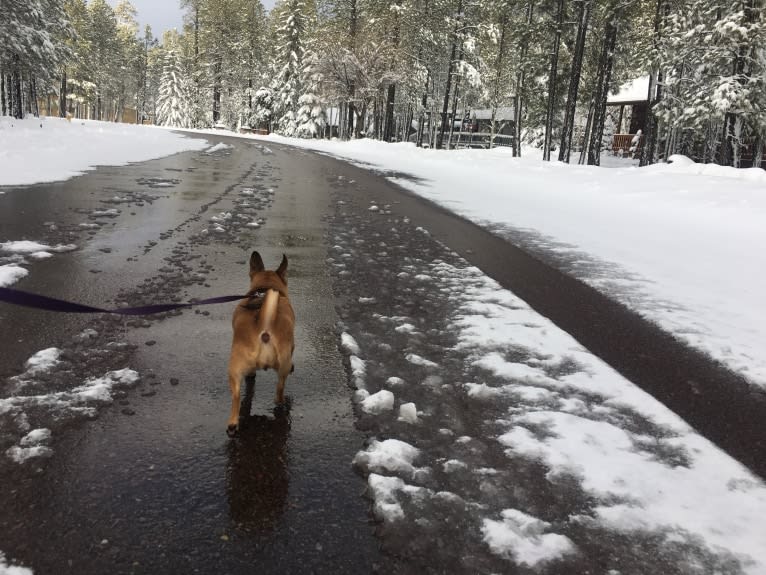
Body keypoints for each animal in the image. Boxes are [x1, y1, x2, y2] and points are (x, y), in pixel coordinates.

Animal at [226, 252, 296, 436]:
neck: (265, 288)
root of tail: (264, 329)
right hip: (283, 369)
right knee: (279, 392)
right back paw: (283, 402)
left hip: (234, 372)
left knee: (236, 398)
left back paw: (233, 425)